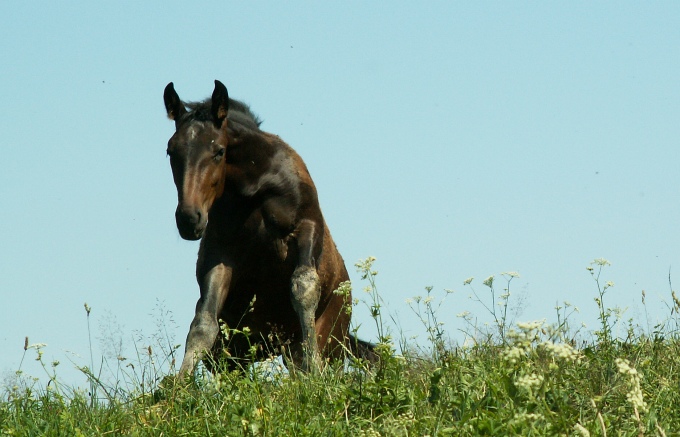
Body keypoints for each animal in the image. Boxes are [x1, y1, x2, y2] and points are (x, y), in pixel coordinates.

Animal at [163, 79, 378, 374]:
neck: (255, 185)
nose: (188, 219)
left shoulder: (307, 226)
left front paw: (313, 367)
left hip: (331, 344)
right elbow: (203, 321)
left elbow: (303, 288)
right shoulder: (221, 252)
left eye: (219, 151)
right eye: (170, 151)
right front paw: (178, 382)